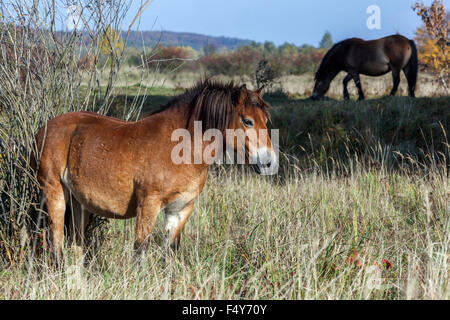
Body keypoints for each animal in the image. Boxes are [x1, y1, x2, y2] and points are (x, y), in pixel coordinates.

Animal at [33, 80, 276, 262]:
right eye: (247, 121)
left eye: (266, 120)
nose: (269, 162)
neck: (181, 147)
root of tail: (45, 128)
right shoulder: (148, 204)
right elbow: (141, 250)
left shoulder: (181, 209)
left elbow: (170, 251)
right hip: (55, 193)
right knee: (57, 243)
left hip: (79, 203)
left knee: (75, 244)